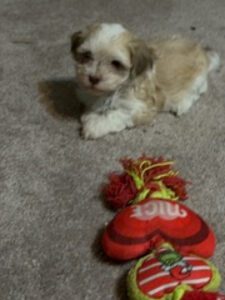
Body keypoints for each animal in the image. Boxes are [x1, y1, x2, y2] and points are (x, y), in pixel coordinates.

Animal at [70, 22, 220, 139]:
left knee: (198, 91)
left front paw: (94, 125)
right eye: (87, 55)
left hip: (197, 80)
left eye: (116, 63)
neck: (114, 90)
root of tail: (202, 52)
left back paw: (181, 104)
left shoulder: (141, 108)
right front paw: (90, 114)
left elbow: (116, 114)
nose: (93, 78)